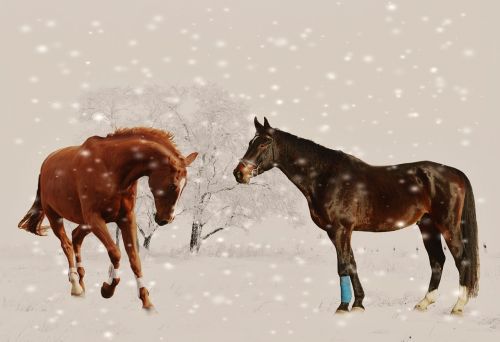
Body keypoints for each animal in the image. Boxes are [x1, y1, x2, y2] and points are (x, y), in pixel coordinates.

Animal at [19, 127, 199, 310]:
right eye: (173, 185)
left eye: (185, 186)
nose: (165, 219)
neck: (111, 168)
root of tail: (46, 163)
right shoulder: (94, 218)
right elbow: (116, 252)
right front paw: (107, 289)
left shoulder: (126, 218)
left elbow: (134, 258)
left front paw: (146, 302)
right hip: (55, 216)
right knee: (67, 245)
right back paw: (76, 286)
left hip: (86, 223)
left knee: (76, 236)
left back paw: (82, 283)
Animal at [233, 117, 476, 316]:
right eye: (250, 142)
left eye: (263, 143)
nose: (239, 173)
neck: (326, 176)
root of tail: (455, 173)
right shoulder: (337, 232)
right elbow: (351, 263)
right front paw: (358, 303)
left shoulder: (341, 229)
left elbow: (343, 265)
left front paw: (342, 307)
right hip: (427, 226)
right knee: (437, 260)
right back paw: (424, 303)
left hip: (447, 225)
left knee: (461, 259)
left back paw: (458, 307)